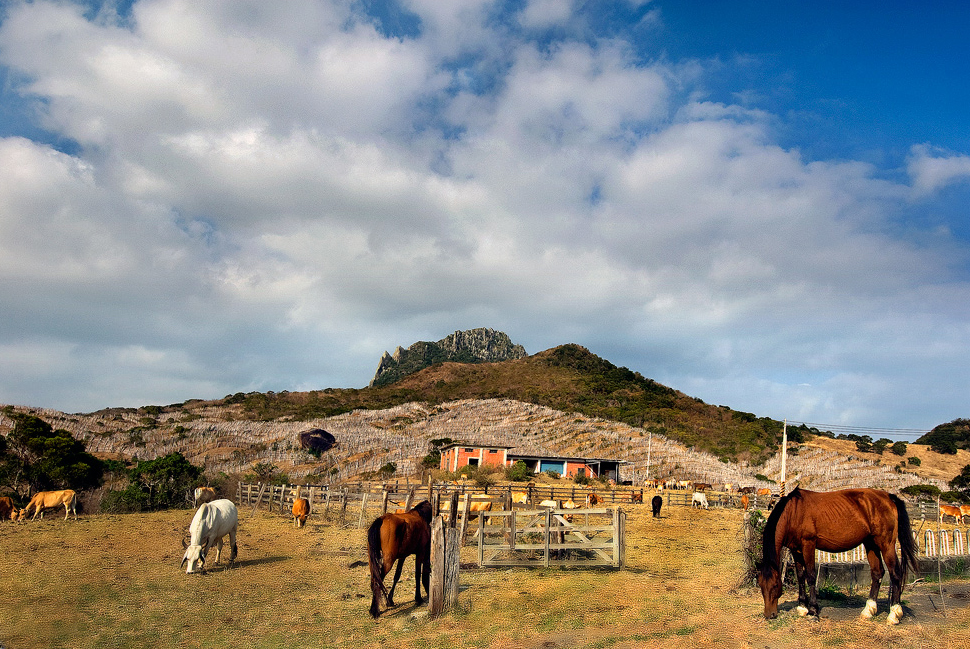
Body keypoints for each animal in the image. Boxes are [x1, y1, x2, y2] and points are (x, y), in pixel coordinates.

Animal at [756, 486, 916, 624]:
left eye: (776, 585)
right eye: (761, 585)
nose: (769, 614)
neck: (793, 512)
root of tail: (889, 497)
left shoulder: (808, 545)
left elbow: (811, 576)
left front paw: (813, 610)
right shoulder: (796, 550)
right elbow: (800, 576)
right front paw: (802, 607)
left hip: (886, 544)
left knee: (895, 573)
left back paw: (894, 614)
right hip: (871, 544)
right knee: (877, 573)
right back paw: (869, 610)